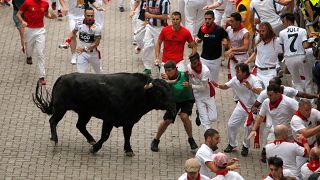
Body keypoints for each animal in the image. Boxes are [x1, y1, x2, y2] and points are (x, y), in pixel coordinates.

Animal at [32, 72, 175, 155]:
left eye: (170, 90)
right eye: (159, 92)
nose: (173, 107)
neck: (137, 93)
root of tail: (62, 77)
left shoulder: (129, 121)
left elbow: (127, 135)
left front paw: (129, 150)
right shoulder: (109, 119)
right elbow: (105, 135)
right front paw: (95, 148)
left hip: (85, 112)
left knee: (80, 125)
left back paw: (90, 139)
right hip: (61, 108)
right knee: (53, 121)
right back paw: (55, 139)